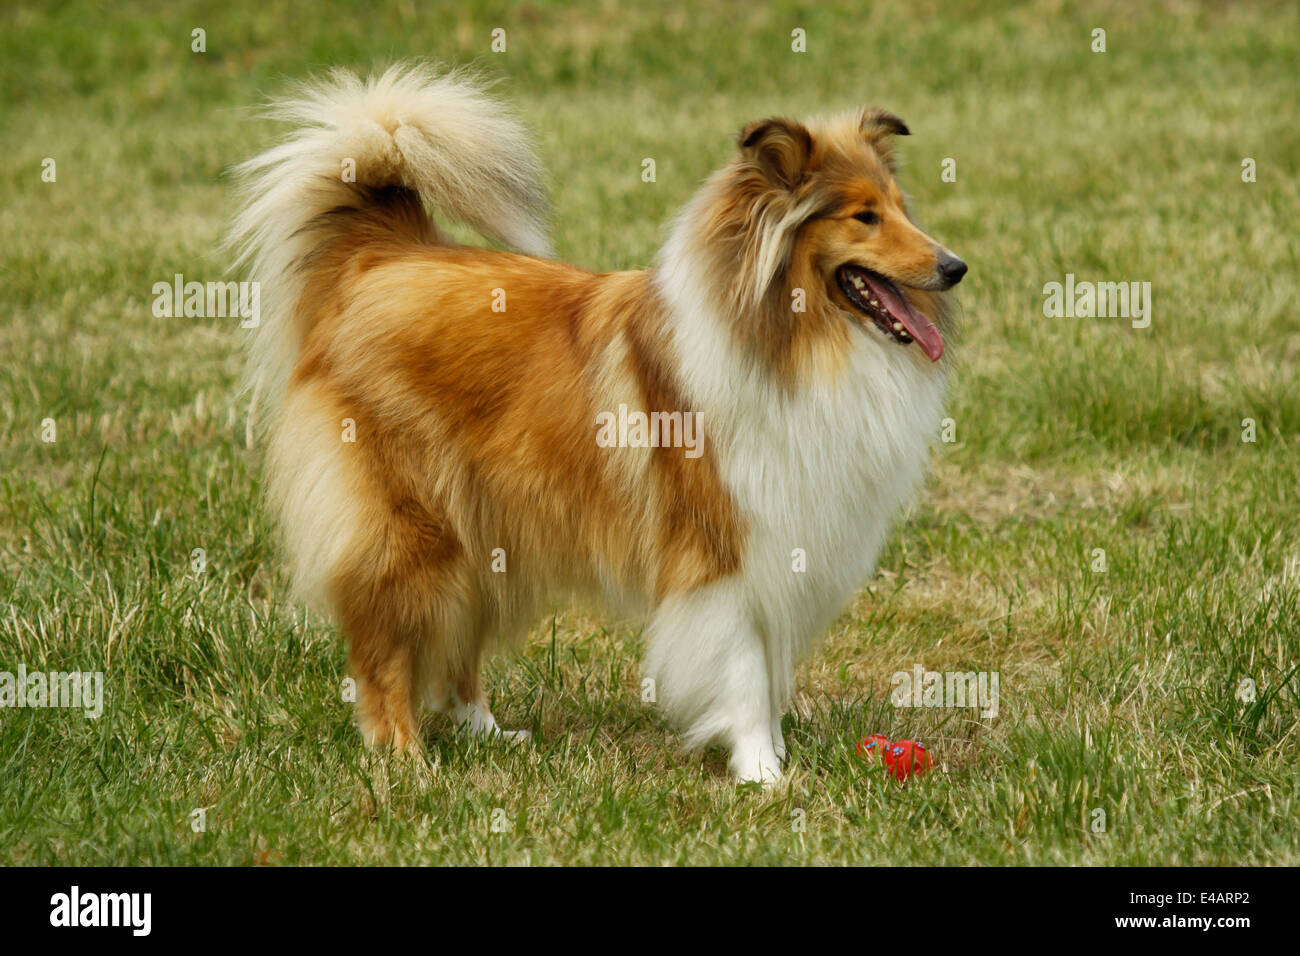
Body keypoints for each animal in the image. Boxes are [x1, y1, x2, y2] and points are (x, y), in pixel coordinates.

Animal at [231, 65, 967, 785]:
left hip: (484, 526)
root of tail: (385, 252)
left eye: (901, 210)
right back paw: (407, 760)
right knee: (381, 647)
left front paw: (775, 755)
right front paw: (762, 773)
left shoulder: (783, 543)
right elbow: (743, 670)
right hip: (412, 526)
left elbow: (768, 666)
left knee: (456, 644)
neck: (793, 343)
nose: (956, 267)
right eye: (864, 217)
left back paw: (488, 735)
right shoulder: (720, 553)